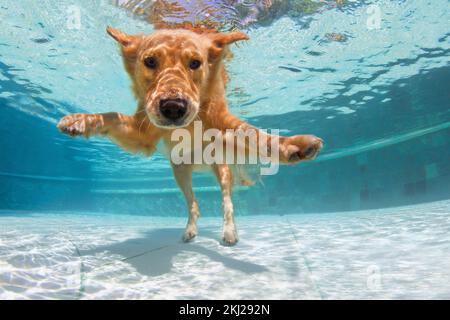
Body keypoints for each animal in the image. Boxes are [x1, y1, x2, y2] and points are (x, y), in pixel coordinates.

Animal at [57, 27, 324, 245]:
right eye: (150, 61)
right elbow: (112, 115)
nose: (173, 107)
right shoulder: (143, 132)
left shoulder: (222, 122)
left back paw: (229, 233)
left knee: (227, 202)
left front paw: (293, 145)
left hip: (221, 169)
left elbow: (254, 134)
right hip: (179, 171)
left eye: (195, 63)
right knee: (194, 205)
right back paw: (190, 231)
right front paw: (80, 120)